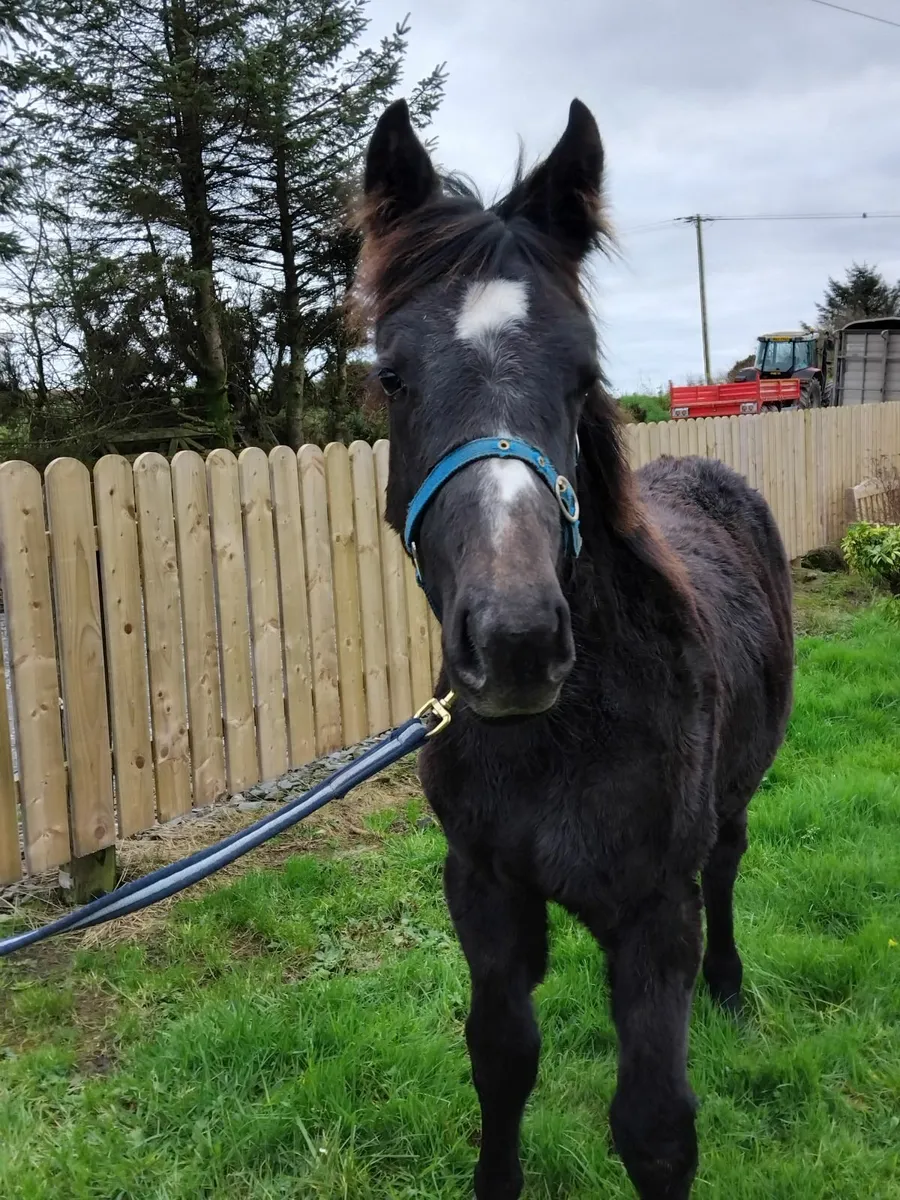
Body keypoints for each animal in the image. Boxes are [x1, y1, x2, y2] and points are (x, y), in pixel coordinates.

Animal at [353, 97, 794, 1200]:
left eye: (585, 373)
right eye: (391, 375)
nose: (514, 645)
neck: (565, 735)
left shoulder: (652, 914)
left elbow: (656, 1127)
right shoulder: (484, 889)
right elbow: (502, 1058)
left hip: (732, 807)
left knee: (728, 873)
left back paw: (731, 992)